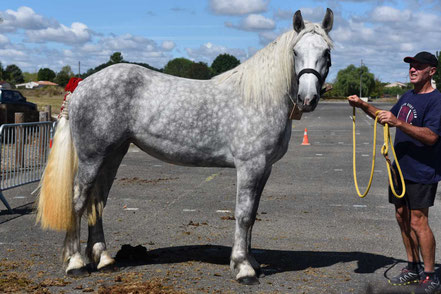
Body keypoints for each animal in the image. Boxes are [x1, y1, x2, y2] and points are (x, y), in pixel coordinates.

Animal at [37, 8, 334, 284]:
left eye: (327, 52)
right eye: (295, 51)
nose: (308, 99)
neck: (259, 97)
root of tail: (81, 86)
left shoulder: (265, 169)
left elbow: (252, 215)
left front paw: (251, 262)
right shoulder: (250, 166)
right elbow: (243, 215)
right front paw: (244, 269)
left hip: (112, 154)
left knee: (97, 201)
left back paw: (104, 259)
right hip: (92, 156)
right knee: (78, 200)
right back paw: (76, 263)